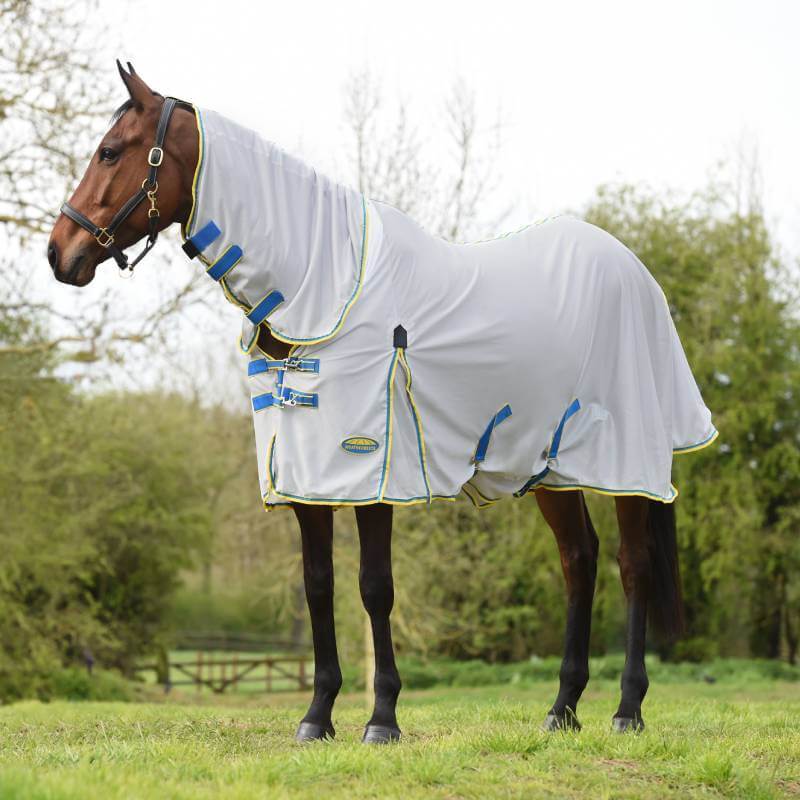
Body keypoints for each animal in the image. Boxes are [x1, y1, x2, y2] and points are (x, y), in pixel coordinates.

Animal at [48, 63, 716, 742]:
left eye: (110, 151)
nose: (59, 252)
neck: (319, 285)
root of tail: (634, 270)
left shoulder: (372, 473)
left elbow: (374, 587)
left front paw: (382, 718)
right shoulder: (307, 477)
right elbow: (318, 586)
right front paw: (317, 716)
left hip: (626, 461)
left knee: (633, 565)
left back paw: (627, 708)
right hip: (551, 464)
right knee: (579, 561)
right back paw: (562, 710)